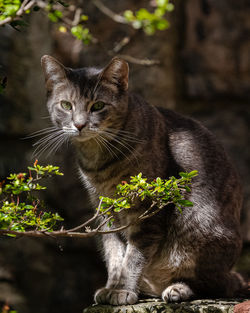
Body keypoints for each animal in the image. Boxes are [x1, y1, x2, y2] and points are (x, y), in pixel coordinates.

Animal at [40, 54, 245, 304]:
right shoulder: (105, 211)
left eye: (98, 106)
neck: (97, 159)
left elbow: (133, 256)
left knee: (219, 284)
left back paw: (178, 288)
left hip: (201, 231)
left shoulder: (147, 212)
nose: (79, 125)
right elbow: (115, 254)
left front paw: (122, 290)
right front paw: (112, 287)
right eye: (66, 105)